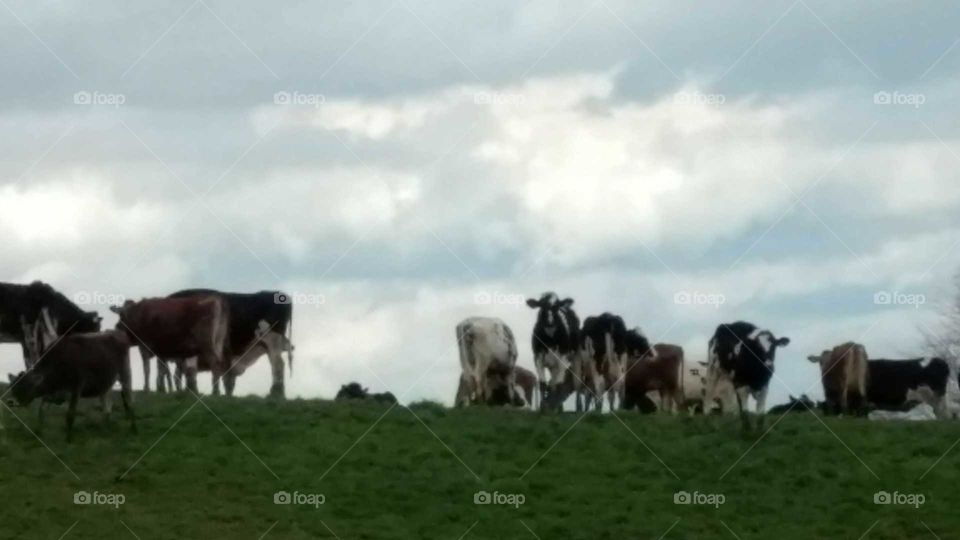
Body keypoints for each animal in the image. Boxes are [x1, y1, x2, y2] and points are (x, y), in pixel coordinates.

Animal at [5, 330, 135, 441]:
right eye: (13, 388)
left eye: (25, 388)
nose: (11, 402)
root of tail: (116, 332)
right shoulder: (51, 394)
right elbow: (41, 412)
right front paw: (38, 433)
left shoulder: (76, 388)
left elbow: (70, 414)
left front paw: (68, 439)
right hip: (104, 384)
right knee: (107, 408)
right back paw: (105, 429)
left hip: (125, 373)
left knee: (128, 400)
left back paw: (133, 429)